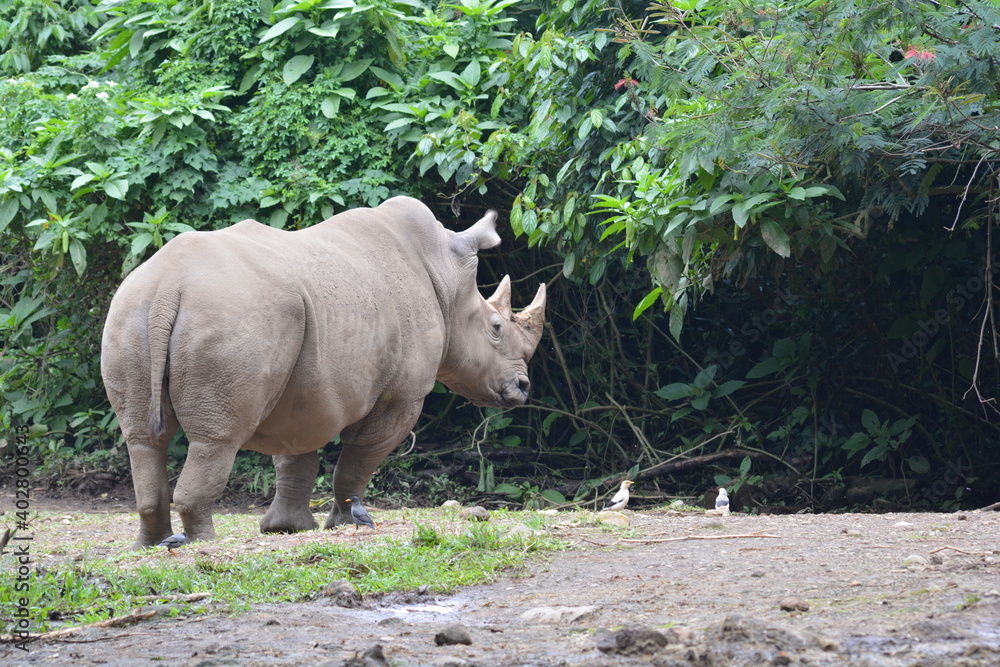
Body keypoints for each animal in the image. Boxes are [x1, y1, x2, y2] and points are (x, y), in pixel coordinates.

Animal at [101, 196, 545, 549]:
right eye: (496, 328)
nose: (524, 387)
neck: (446, 277)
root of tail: (167, 288)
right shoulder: (401, 396)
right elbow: (358, 460)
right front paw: (342, 524)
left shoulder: (301, 388)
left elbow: (294, 454)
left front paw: (286, 529)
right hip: (230, 317)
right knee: (217, 438)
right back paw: (203, 544)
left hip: (130, 311)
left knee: (142, 438)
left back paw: (150, 544)